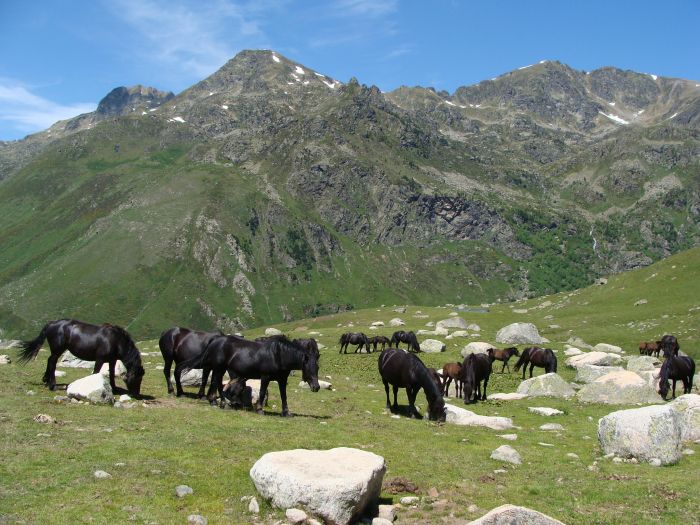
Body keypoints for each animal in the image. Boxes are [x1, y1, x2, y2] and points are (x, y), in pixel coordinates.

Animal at [175, 334, 320, 416]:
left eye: (317, 367)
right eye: (308, 367)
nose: (316, 387)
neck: (278, 355)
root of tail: (214, 340)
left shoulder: (282, 380)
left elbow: (284, 396)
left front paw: (286, 412)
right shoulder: (265, 377)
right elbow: (262, 392)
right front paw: (260, 409)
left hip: (220, 369)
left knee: (217, 383)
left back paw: (218, 402)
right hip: (219, 368)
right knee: (217, 382)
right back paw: (219, 402)